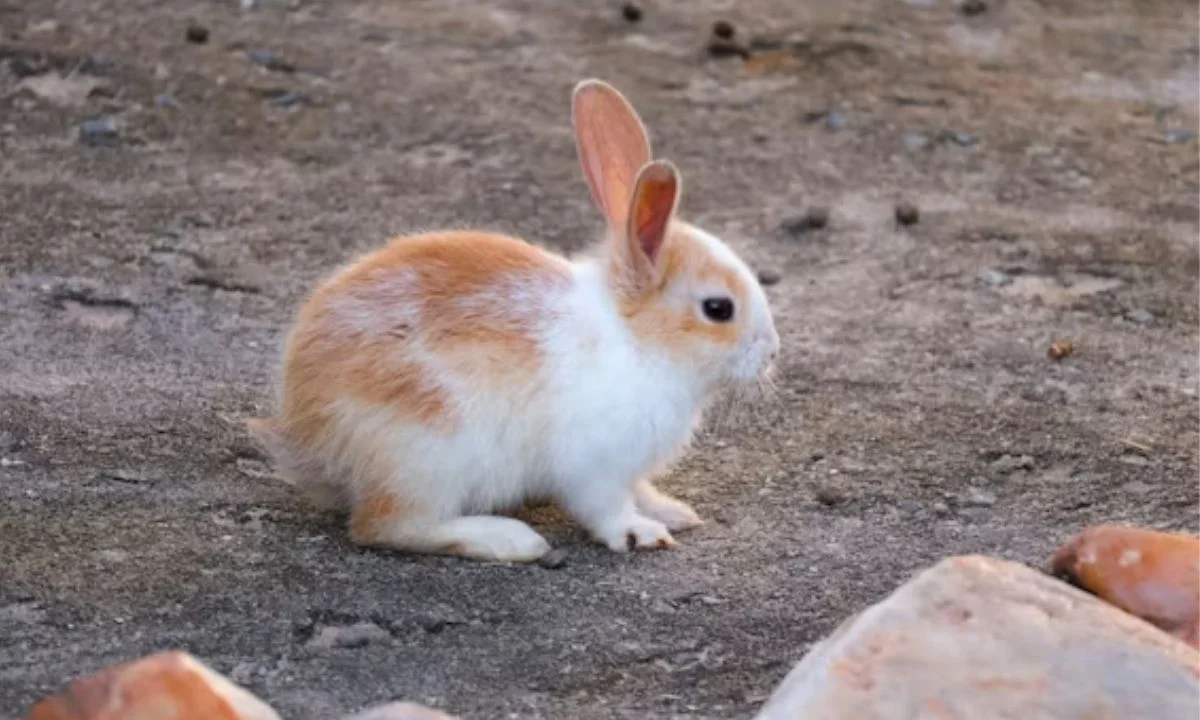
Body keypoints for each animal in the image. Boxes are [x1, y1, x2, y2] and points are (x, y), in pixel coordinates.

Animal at [246, 78, 780, 563]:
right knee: (388, 525)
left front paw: (673, 512)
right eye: (718, 309)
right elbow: (607, 509)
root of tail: (309, 434)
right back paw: (510, 541)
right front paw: (640, 534)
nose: (772, 351)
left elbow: (641, 490)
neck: (636, 340)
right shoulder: (594, 468)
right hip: (426, 454)